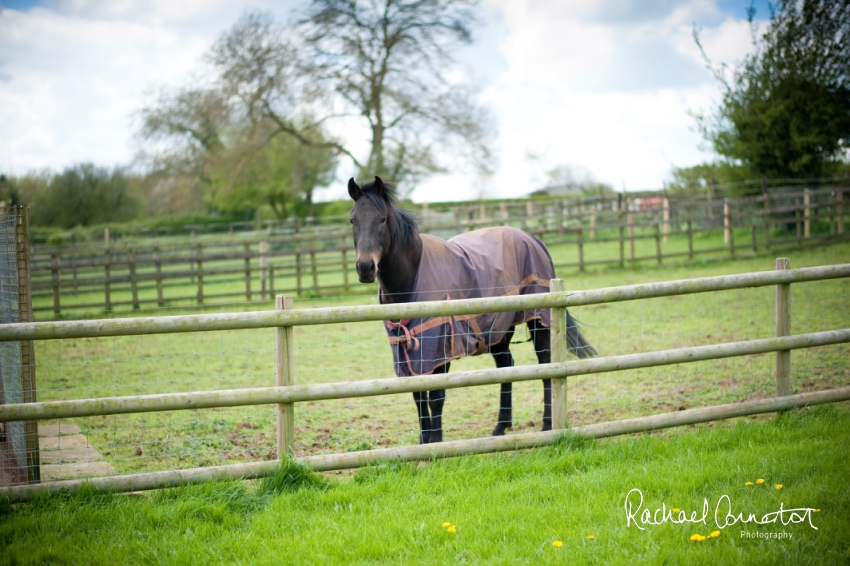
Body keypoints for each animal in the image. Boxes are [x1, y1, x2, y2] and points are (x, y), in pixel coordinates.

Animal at [348, 176, 592, 444]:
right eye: (352, 220)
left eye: (382, 219)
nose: (365, 268)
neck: (412, 277)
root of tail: (532, 238)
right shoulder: (407, 350)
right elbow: (418, 396)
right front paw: (423, 443)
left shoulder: (439, 348)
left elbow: (436, 398)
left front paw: (435, 442)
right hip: (498, 329)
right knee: (506, 366)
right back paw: (500, 427)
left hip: (539, 321)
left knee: (546, 365)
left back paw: (548, 425)